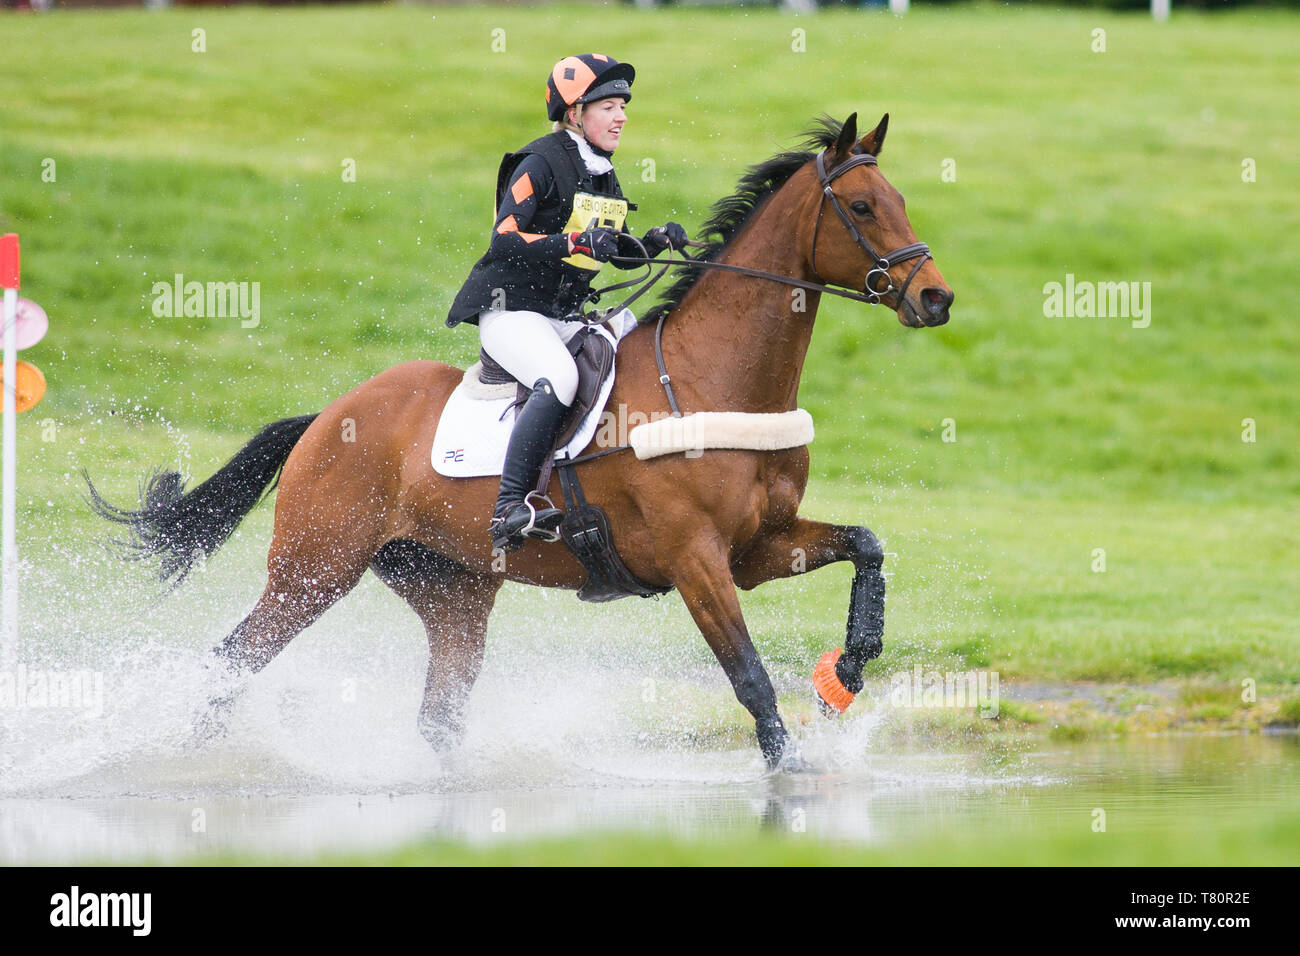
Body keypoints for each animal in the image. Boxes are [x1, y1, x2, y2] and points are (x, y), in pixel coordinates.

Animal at [86, 111, 951, 770]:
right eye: (863, 207)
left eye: (901, 199)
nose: (935, 298)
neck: (713, 375)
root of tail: (329, 417)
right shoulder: (696, 559)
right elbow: (747, 674)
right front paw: (790, 769)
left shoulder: (759, 546)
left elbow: (866, 545)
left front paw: (847, 669)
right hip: (314, 569)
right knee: (233, 659)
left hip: (452, 588)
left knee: (438, 712)